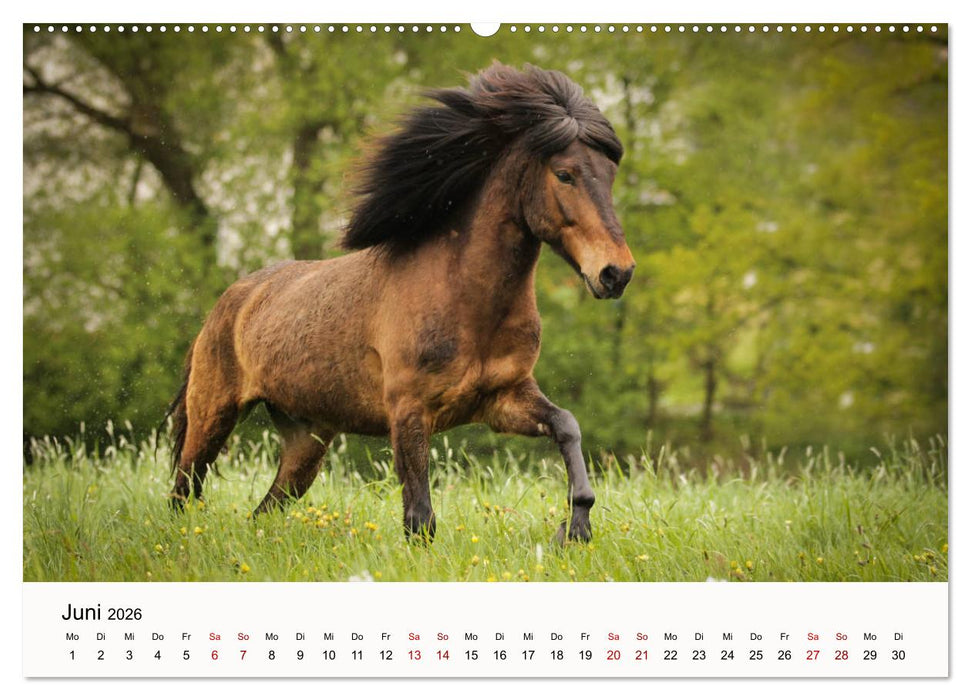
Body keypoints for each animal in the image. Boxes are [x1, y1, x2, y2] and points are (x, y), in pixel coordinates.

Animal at [166, 63, 635, 543]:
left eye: (609, 175)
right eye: (565, 174)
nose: (616, 273)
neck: (464, 300)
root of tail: (229, 302)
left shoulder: (504, 399)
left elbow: (567, 426)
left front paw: (575, 526)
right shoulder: (409, 411)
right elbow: (420, 516)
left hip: (305, 441)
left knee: (263, 509)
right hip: (213, 415)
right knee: (184, 490)